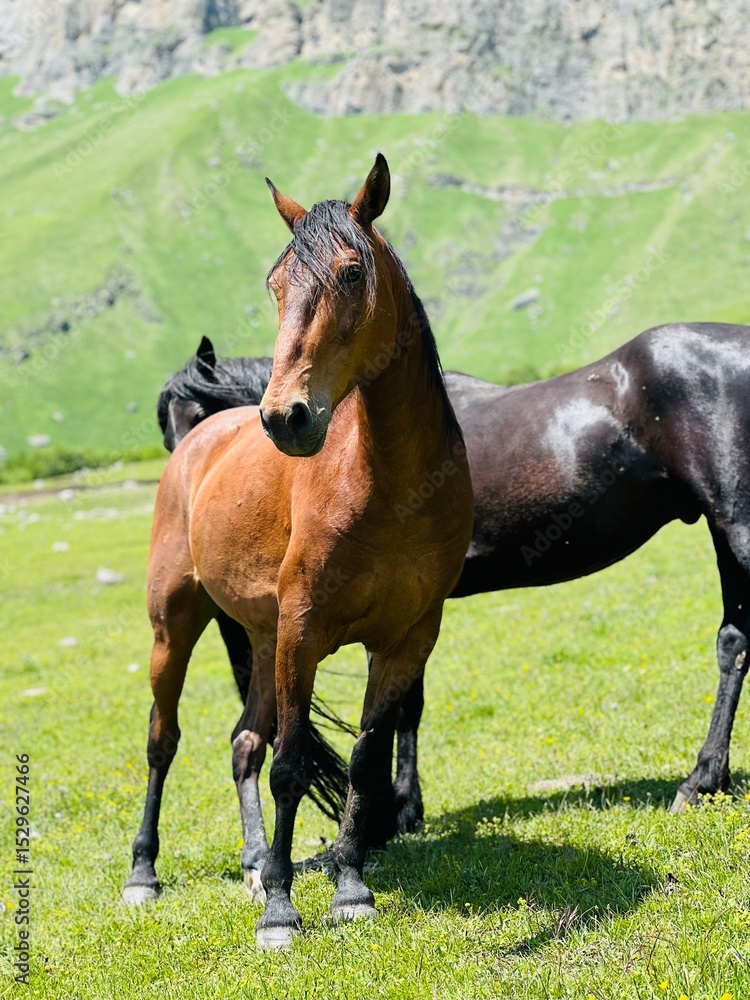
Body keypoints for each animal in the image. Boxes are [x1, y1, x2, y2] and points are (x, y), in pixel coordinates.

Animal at [123, 154, 474, 950]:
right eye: (276, 283)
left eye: (351, 272)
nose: (286, 417)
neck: (389, 485)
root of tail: (200, 439)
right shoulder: (305, 631)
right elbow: (289, 768)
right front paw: (283, 912)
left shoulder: (406, 641)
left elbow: (367, 764)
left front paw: (350, 889)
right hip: (178, 628)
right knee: (165, 740)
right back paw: (145, 873)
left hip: (260, 636)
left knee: (242, 742)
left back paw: (256, 862)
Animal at [159, 323, 750, 826]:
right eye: (169, 435)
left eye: (202, 419)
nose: (188, 515)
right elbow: (408, 705)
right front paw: (401, 806)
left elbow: (397, 708)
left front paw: (390, 812)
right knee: (734, 642)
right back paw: (706, 779)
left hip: (735, 526)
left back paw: (699, 779)